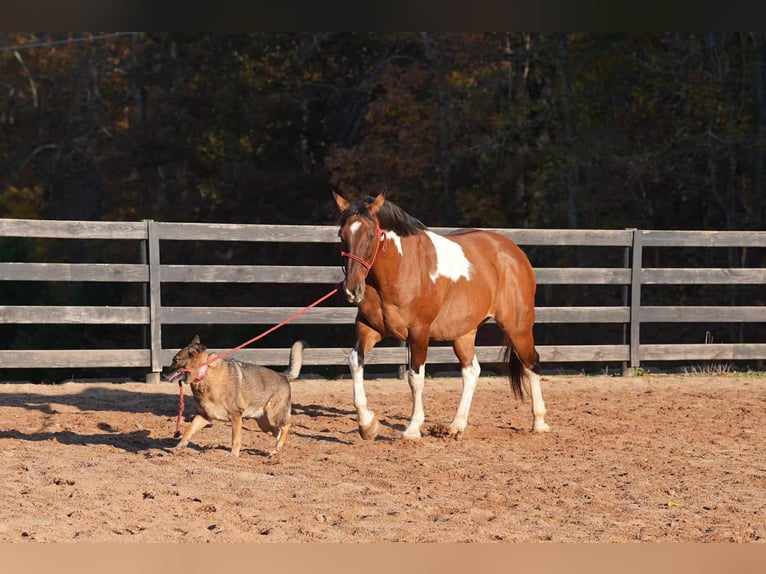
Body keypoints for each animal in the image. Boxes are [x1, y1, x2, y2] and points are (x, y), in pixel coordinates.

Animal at [333, 191, 550, 440]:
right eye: (341, 235)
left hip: (517, 327)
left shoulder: (418, 333)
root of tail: (514, 253)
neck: (400, 270)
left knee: (531, 363)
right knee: (471, 371)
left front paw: (412, 428)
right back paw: (456, 425)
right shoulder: (369, 328)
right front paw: (367, 424)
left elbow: (415, 378)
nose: (352, 290)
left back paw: (539, 422)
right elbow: (355, 362)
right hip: (464, 333)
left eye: (370, 235)